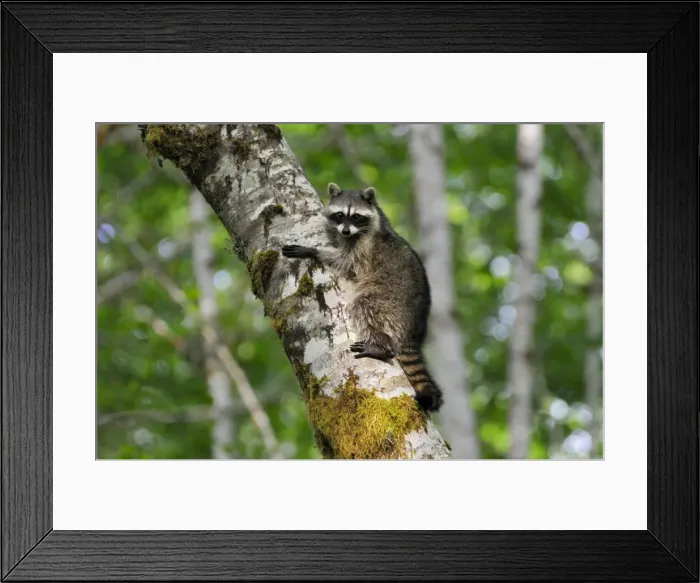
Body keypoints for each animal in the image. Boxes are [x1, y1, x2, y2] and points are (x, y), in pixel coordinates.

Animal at [281, 182, 444, 413]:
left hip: (389, 301)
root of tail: (415, 328)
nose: (345, 230)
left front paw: (312, 251)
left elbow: (345, 260)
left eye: (356, 216)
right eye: (340, 215)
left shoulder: (364, 246)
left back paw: (382, 347)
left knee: (366, 306)